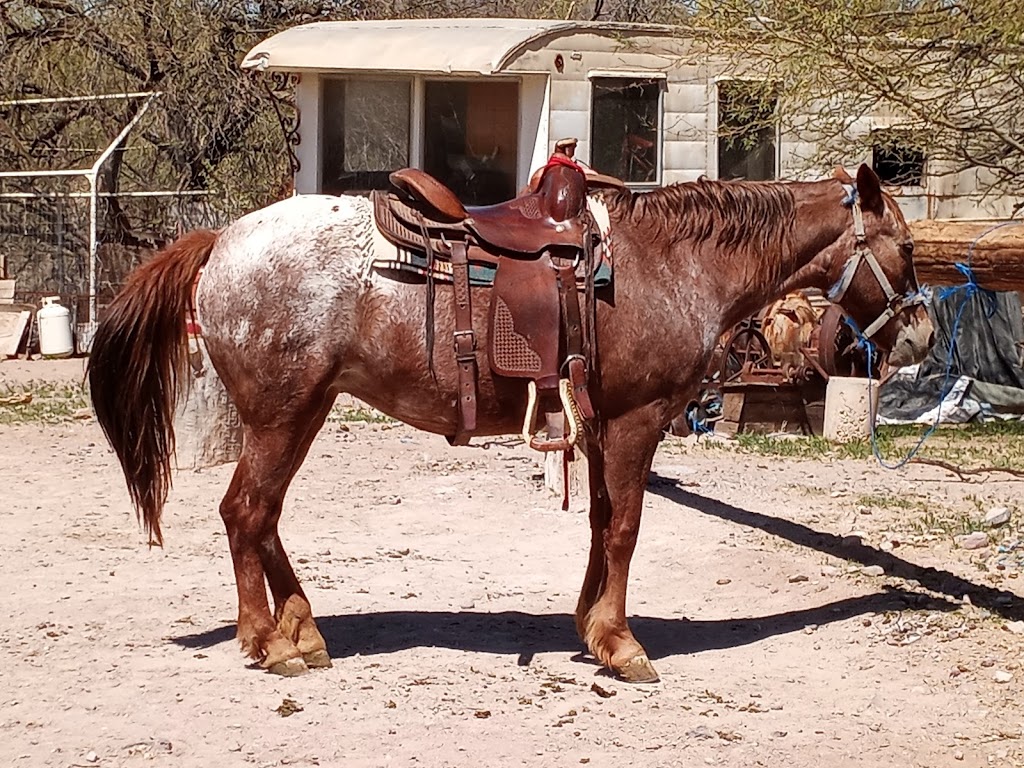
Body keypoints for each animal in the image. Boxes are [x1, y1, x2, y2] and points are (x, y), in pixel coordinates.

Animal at [88, 163, 937, 684]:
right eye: (906, 244)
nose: (923, 335)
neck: (671, 265)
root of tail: (219, 242)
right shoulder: (635, 422)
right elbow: (626, 527)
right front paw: (622, 645)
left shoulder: (600, 426)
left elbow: (601, 523)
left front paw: (591, 627)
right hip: (281, 413)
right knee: (245, 513)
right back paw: (269, 642)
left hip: (306, 410)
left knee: (261, 518)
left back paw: (302, 629)